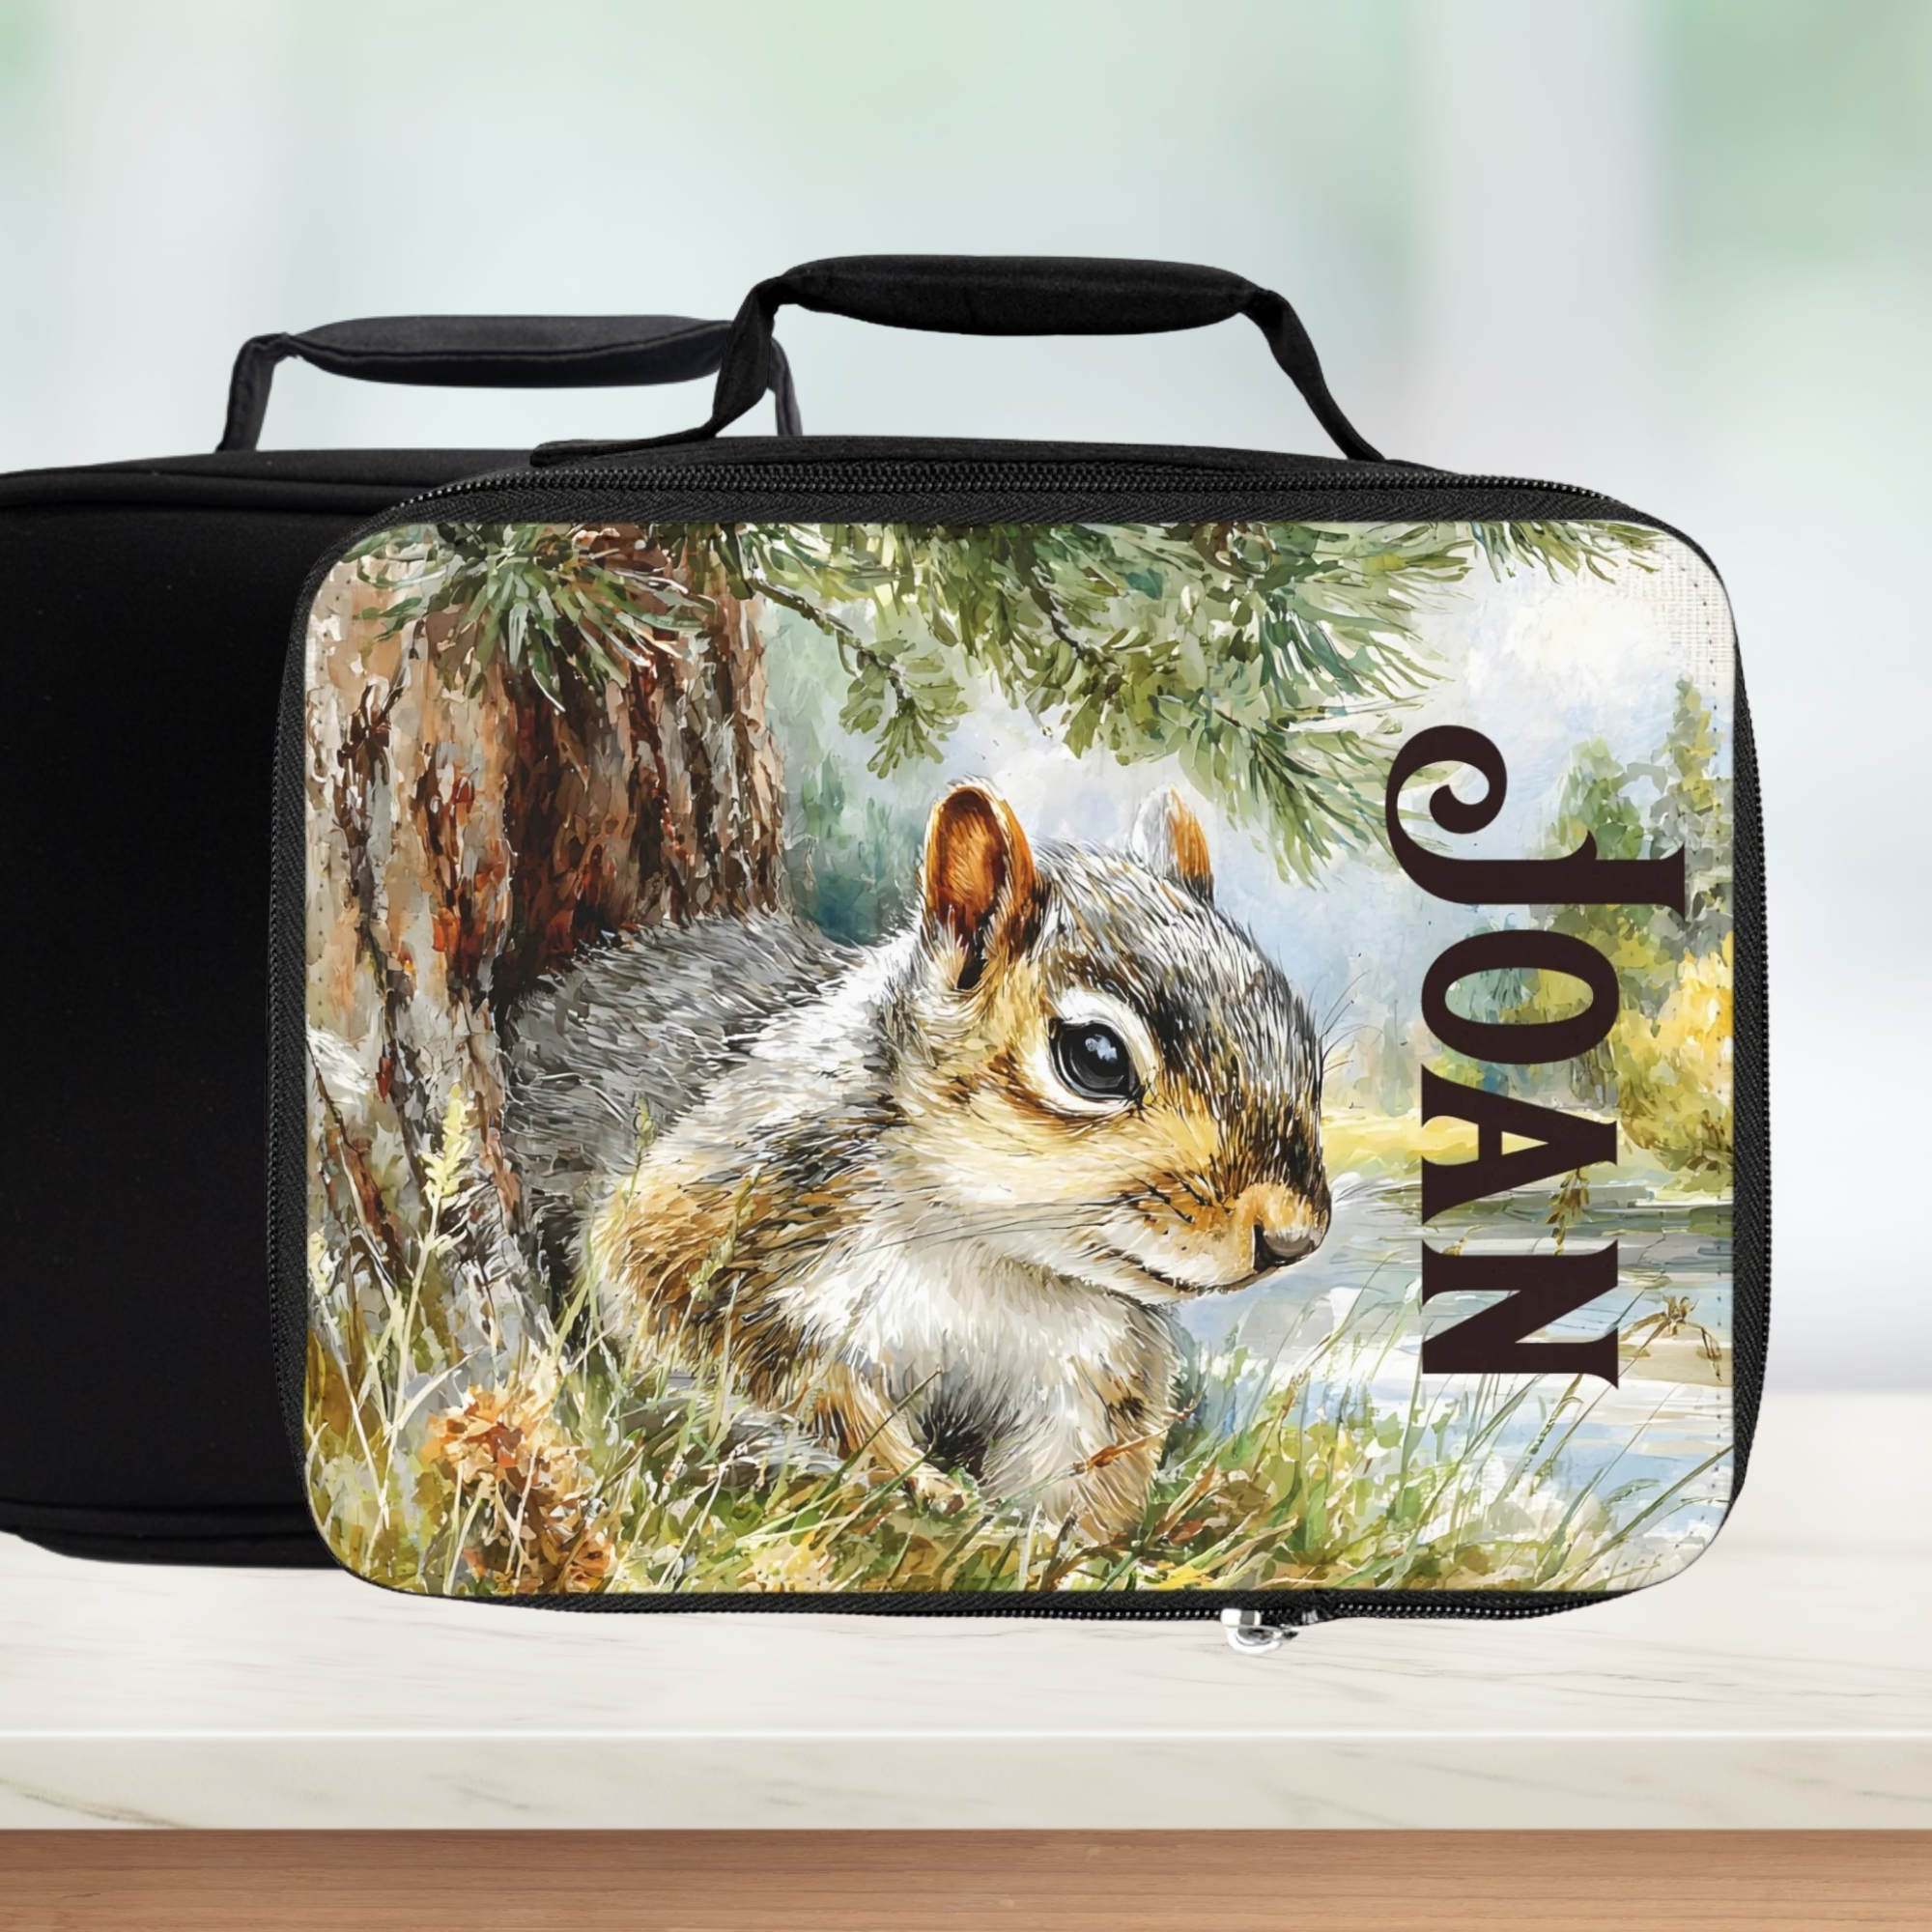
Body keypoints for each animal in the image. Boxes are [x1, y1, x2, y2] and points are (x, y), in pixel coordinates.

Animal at [500, 783, 1331, 1543]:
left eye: (1303, 1041)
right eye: (1095, 1057)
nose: (1295, 1237)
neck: (989, 1252)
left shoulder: (1095, 1366)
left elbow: (1083, 1473)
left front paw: (1055, 1543)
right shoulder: (721, 1219)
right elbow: (767, 1368)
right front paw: (916, 1480)